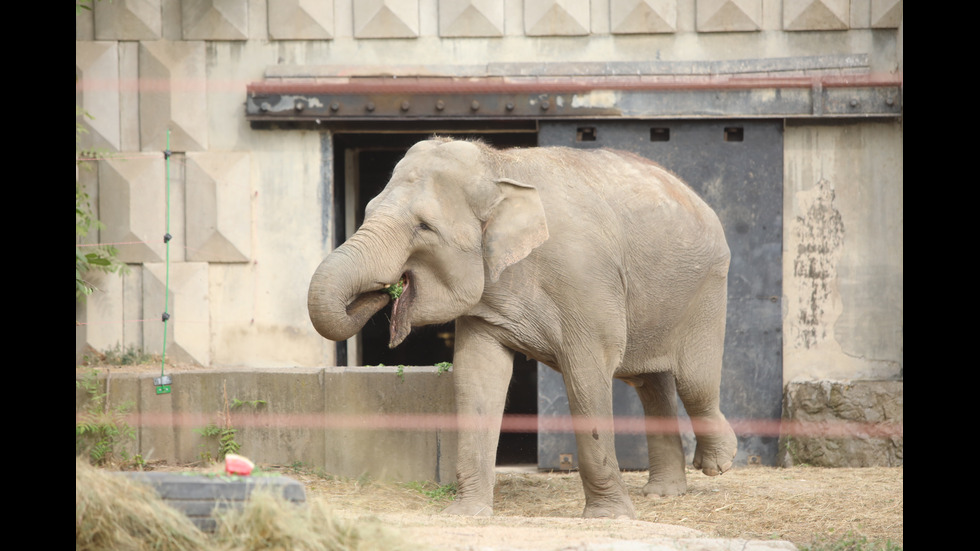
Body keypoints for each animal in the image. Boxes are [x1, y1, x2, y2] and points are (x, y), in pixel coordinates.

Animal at [306, 138, 736, 520]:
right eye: (367, 210)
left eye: (424, 227)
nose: (385, 290)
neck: (499, 169)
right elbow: (478, 377)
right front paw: (466, 514)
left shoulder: (586, 280)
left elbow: (587, 377)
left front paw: (609, 518)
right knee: (651, 382)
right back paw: (664, 493)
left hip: (707, 287)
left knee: (694, 382)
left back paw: (719, 462)